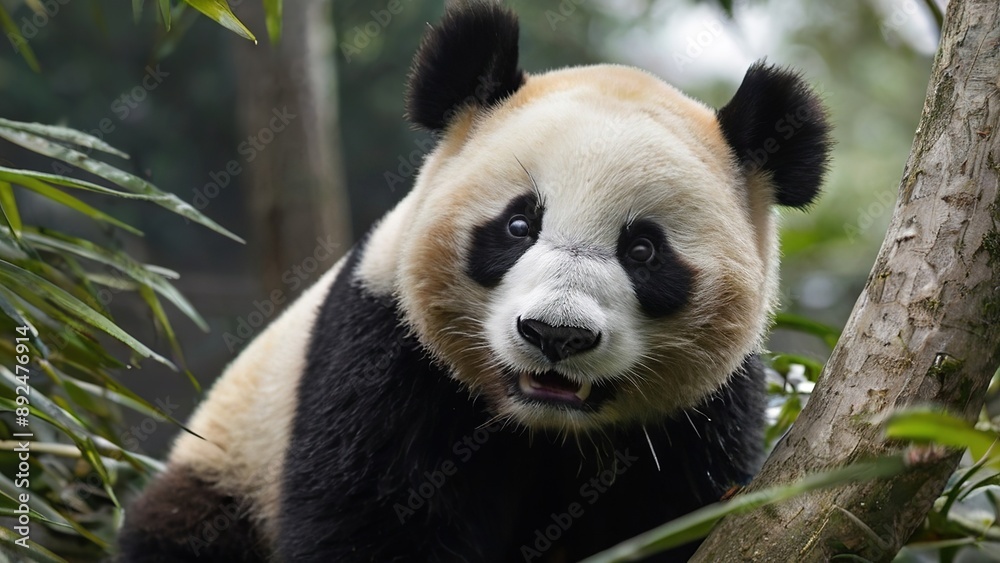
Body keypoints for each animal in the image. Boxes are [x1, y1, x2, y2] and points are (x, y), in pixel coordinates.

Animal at [118, 3, 831, 562]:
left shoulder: (701, 413)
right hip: (230, 468)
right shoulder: (386, 356)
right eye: (518, 225)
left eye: (644, 251)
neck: (541, 425)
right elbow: (373, 519)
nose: (556, 335)